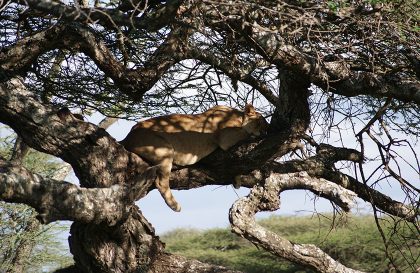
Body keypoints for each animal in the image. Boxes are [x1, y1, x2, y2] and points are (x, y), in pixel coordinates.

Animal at [120, 104, 268, 210]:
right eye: (261, 122)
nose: (266, 131)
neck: (239, 117)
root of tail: (128, 136)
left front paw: (236, 180)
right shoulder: (225, 138)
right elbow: (245, 134)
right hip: (164, 149)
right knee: (161, 183)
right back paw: (175, 205)